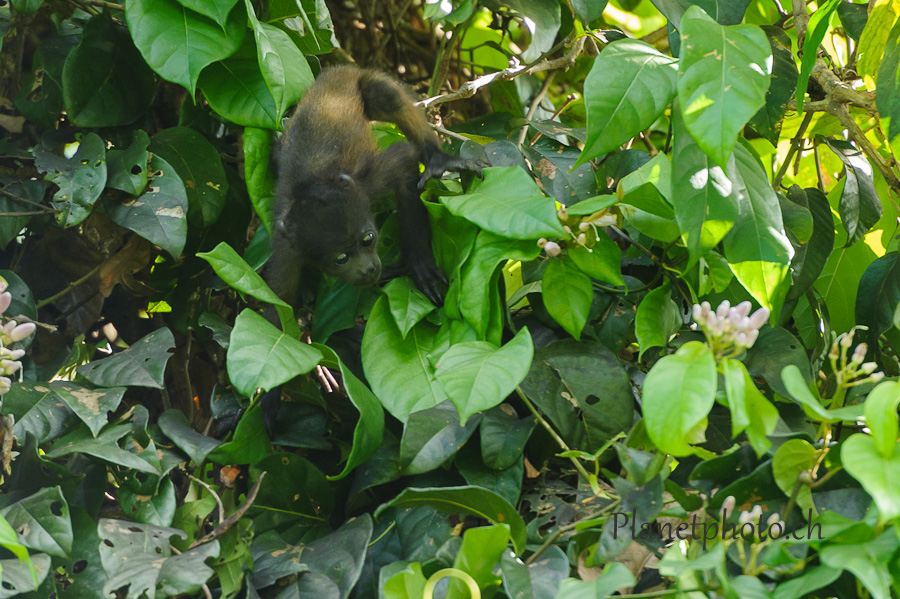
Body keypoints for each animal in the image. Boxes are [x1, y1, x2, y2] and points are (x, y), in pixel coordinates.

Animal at [266, 66, 486, 310]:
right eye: (341, 258)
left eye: (368, 240)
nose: (368, 269)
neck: (311, 184)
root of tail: (334, 72)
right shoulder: (287, 249)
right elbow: (275, 306)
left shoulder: (365, 187)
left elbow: (404, 159)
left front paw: (418, 265)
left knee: (385, 95)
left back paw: (437, 158)